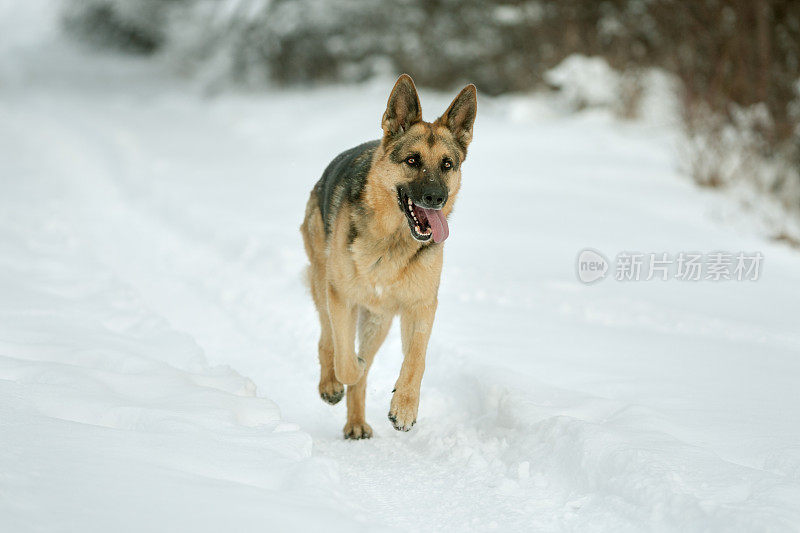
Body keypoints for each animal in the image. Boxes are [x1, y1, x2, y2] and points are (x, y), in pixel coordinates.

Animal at [300, 76, 476, 440]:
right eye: (412, 160)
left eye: (447, 165)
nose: (436, 198)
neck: (392, 243)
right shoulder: (342, 298)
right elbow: (346, 361)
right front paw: (343, 375)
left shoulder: (421, 305)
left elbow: (416, 359)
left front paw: (405, 406)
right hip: (324, 286)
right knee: (328, 339)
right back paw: (331, 384)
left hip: (378, 320)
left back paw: (355, 423)